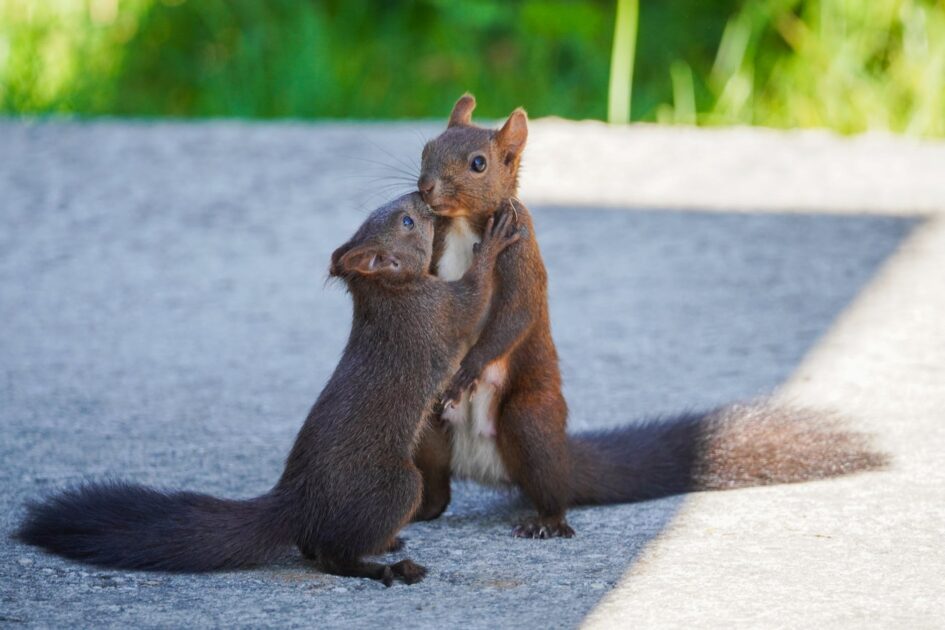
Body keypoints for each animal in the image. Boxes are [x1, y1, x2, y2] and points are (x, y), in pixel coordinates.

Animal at [16, 194, 524, 588]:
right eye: (406, 222)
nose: (421, 198)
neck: (390, 295)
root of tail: (298, 504)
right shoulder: (438, 312)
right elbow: (474, 294)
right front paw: (494, 240)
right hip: (398, 483)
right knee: (332, 557)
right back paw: (388, 568)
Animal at [410, 94, 888, 540]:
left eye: (479, 163)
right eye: (426, 148)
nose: (426, 187)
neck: (464, 226)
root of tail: (485, 464)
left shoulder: (521, 252)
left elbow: (515, 315)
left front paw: (467, 369)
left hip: (528, 420)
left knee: (551, 485)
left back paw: (547, 521)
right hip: (428, 430)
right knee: (438, 486)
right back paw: (419, 512)